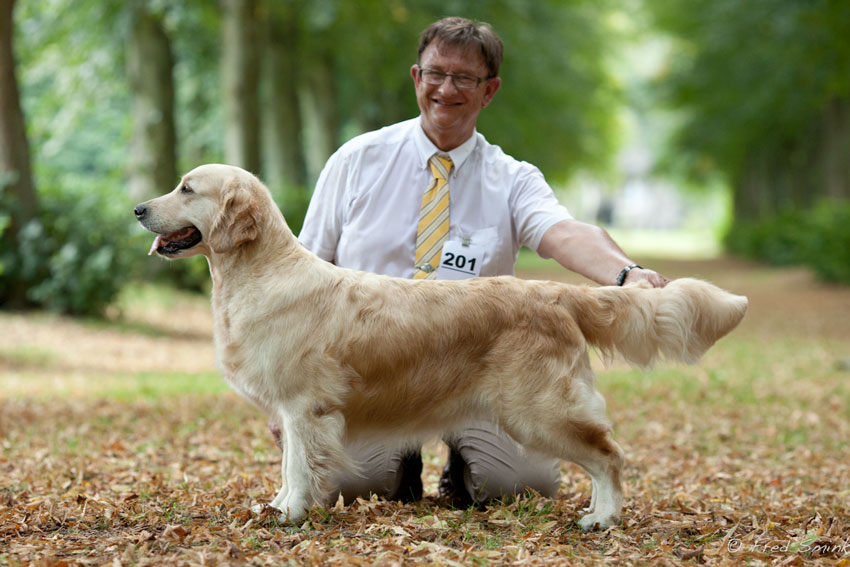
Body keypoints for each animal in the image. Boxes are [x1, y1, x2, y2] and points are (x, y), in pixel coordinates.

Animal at [131, 164, 744, 532]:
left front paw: (293, 515)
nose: (137, 209)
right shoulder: (290, 411)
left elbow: (301, 467)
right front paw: (281, 505)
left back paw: (604, 518)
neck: (260, 274)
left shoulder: (305, 406)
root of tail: (554, 293)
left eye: (187, 188)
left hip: (539, 411)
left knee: (610, 455)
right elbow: (287, 465)